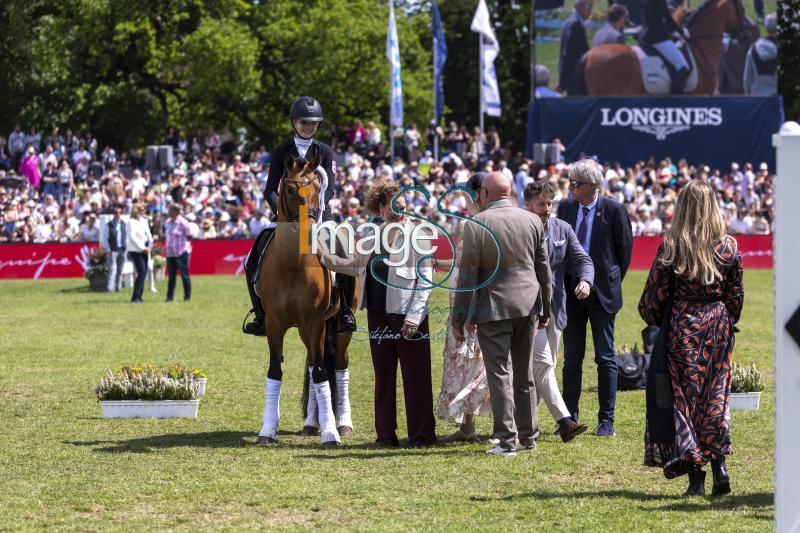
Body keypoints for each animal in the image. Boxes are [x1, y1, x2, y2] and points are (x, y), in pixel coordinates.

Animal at [256, 153, 356, 444]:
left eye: (317, 188)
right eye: (290, 190)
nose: (311, 232)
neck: (293, 263)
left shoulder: (315, 322)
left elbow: (323, 373)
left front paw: (331, 433)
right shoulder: (275, 324)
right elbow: (275, 371)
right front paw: (267, 430)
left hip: (337, 328)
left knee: (338, 365)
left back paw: (342, 422)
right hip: (304, 330)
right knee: (313, 364)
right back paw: (312, 423)